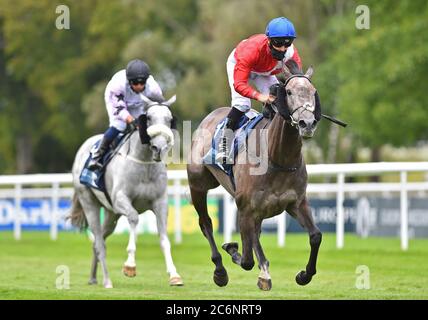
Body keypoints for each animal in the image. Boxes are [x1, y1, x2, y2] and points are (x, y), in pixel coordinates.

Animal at [69, 94, 182, 288]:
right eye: (148, 117)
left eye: (169, 119)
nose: (159, 148)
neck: (143, 164)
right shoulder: (121, 199)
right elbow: (134, 218)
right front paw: (130, 265)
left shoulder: (160, 203)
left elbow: (164, 239)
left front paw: (174, 275)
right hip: (89, 203)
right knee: (99, 242)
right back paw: (107, 281)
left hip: (111, 214)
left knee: (99, 242)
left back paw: (93, 277)